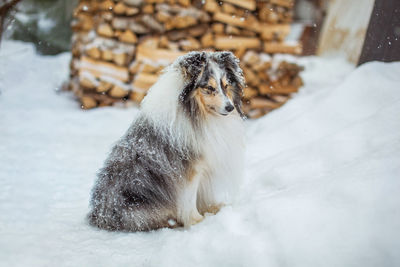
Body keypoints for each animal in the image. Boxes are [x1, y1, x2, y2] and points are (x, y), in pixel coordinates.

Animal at [88, 51, 245, 231]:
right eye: (209, 88)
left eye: (226, 85)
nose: (230, 107)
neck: (197, 114)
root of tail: (99, 214)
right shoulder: (189, 169)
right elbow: (189, 198)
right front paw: (197, 221)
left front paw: (211, 209)